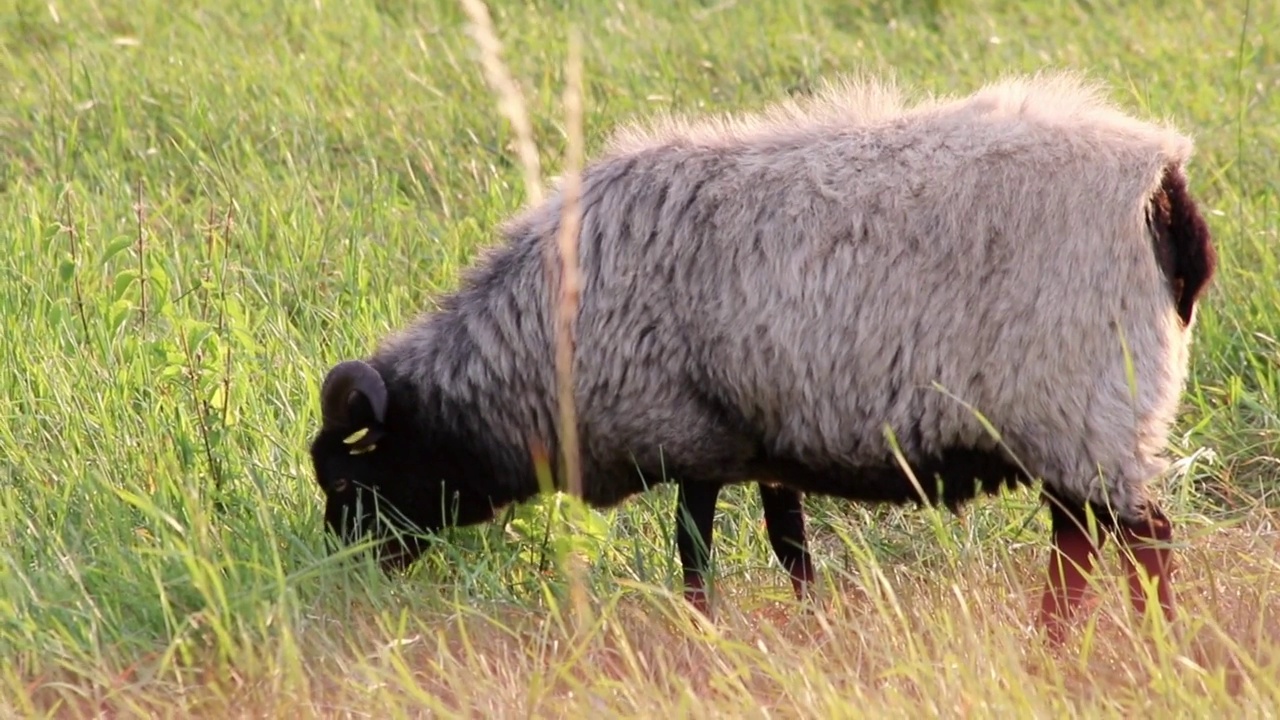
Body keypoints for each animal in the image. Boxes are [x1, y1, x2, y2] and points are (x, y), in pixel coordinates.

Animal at [307, 70, 1208, 635]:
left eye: (348, 480)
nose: (345, 582)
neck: (532, 351)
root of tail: (1163, 183)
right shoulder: (772, 438)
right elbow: (790, 546)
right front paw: (810, 626)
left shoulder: (689, 438)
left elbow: (695, 551)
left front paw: (704, 637)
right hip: (1068, 425)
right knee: (1079, 547)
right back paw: (1054, 647)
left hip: (1084, 407)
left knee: (1145, 541)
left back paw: (1152, 650)